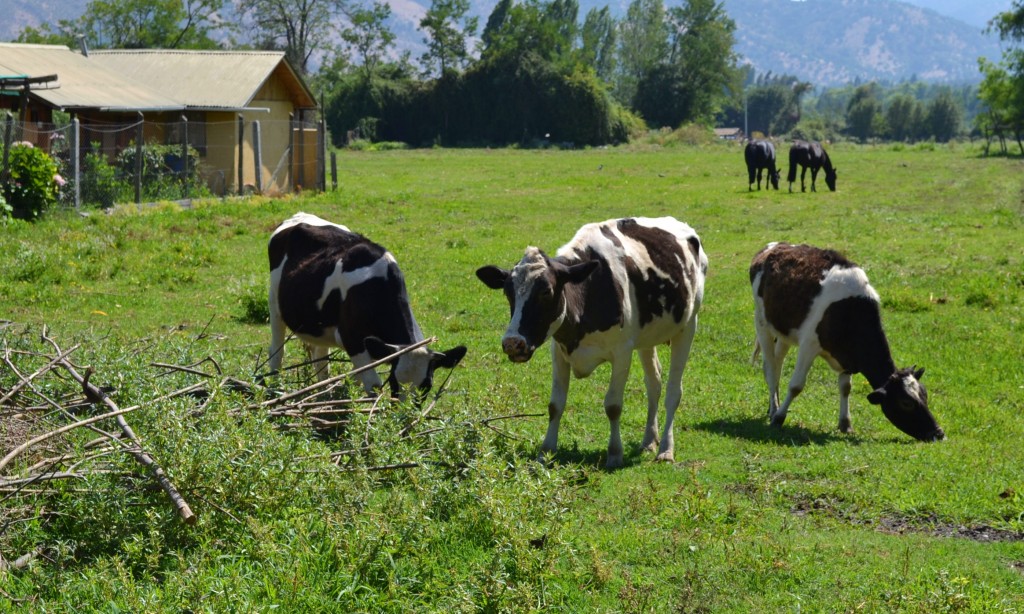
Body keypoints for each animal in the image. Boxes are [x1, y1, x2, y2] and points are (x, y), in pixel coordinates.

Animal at [268, 213, 468, 401]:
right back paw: (275, 389)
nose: (405, 413)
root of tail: (299, 216)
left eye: (426, 386)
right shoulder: (351, 339)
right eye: (393, 381)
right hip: (275, 305)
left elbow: (356, 378)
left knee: (320, 359)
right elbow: (373, 385)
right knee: (277, 352)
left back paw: (323, 394)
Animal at [477, 217, 704, 468]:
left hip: (688, 326)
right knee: (654, 383)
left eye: (546, 291)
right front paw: (546, 451)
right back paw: (648, 441)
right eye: (508, 292)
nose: (512, 342)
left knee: (674, 392)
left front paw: (614, 454)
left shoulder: (622, 352)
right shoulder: (559, 351)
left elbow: (613, 406)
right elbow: (555, 405)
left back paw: (665, 448)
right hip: (648, 337)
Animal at [745, 241, 942, 442]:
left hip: (784, 332)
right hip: (761, 322)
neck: (850, 311)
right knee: (771, 369)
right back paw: (774, 409)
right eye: (906, 402)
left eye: (924, 394)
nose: (938, 433)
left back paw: (772, 406)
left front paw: (845, 424)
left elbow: (846, 387)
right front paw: (779, 418)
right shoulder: (809, 344)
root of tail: (773, 246)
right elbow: (796, 386)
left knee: (778, 364)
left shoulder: (848, 357)